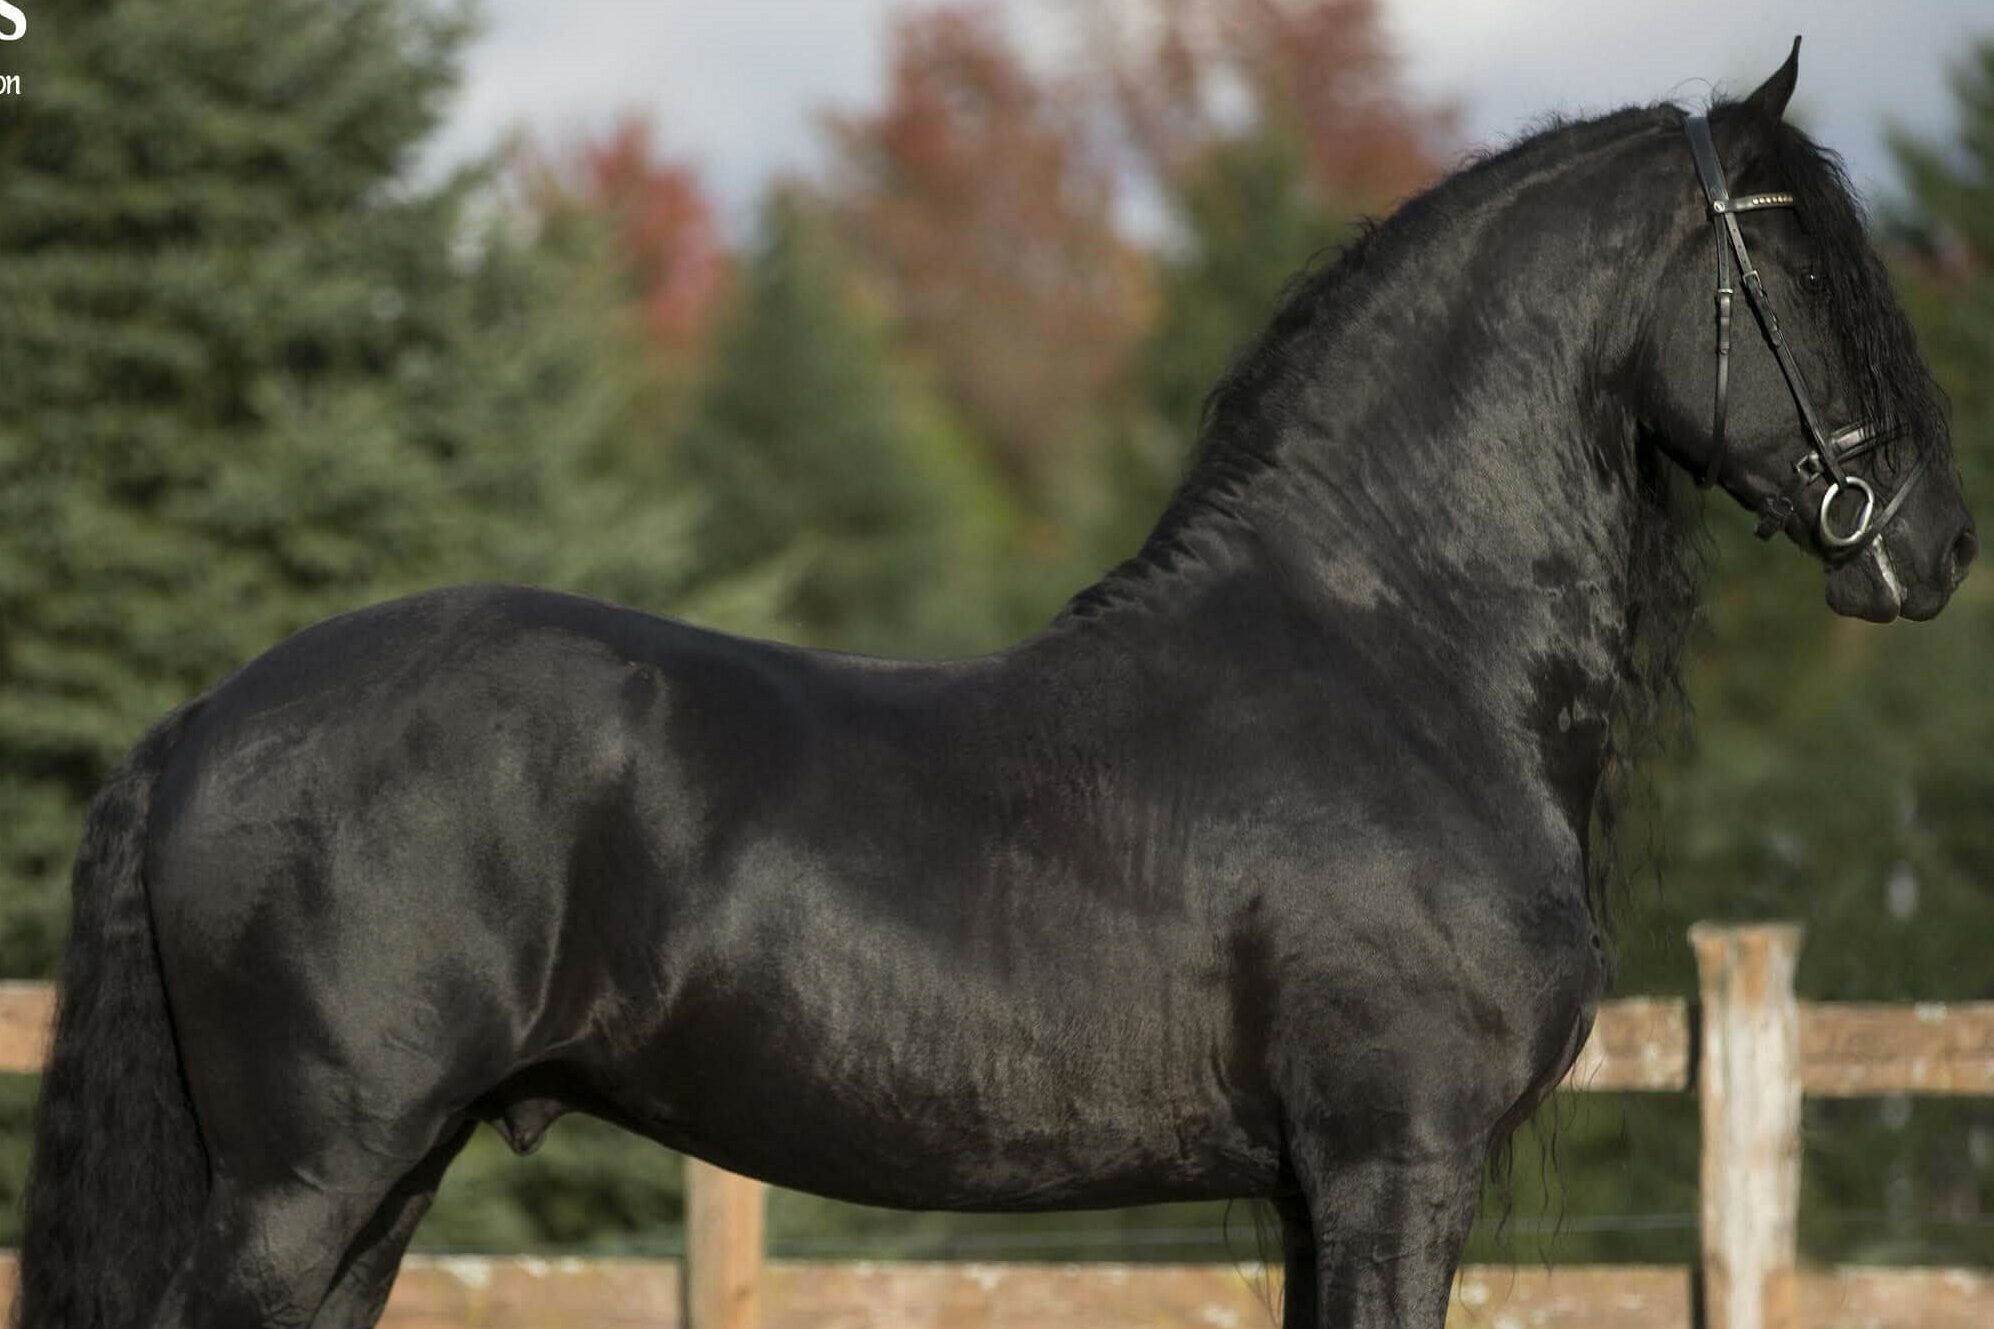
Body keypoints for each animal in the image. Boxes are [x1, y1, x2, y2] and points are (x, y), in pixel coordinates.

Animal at [20, 41, 1975, 1329]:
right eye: (1799, 272)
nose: (1932, 547)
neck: (1387, 651)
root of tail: (204, 723)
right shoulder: (1392, 1157)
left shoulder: (1312, 1182)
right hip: (309, 1177)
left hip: (378, 1180)